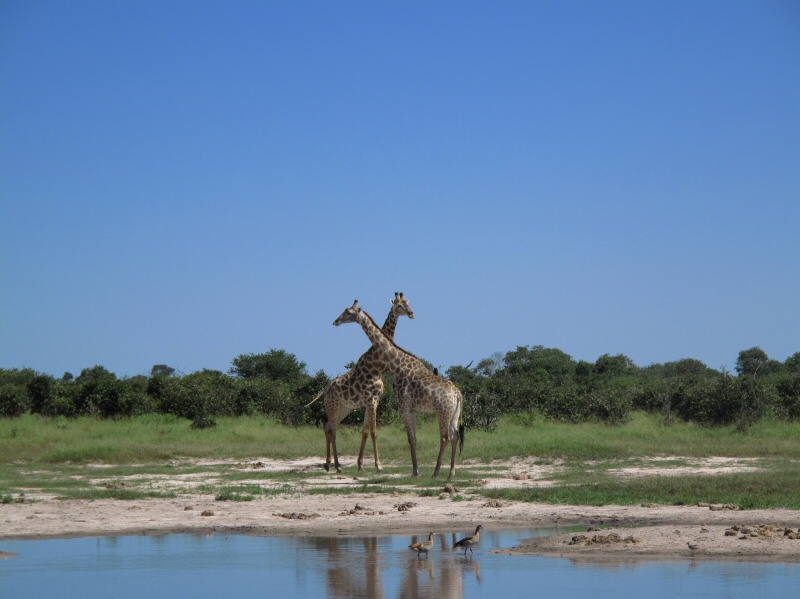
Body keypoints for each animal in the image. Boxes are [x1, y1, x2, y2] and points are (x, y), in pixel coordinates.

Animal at [301, 293, 414, 473]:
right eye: (399, 305)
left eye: (406, 303)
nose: (411, 313)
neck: (377, 366)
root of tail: (325, 390)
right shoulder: (370, 399)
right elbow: (374, 431)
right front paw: (378, 465)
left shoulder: (374, 401)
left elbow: (365, 431)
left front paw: (361, 464)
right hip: (333, 406)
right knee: (332, 429)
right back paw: (337, 466)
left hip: (344, 408)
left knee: (328, 427)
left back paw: (328, 464)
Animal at [333, 300, 463, 479]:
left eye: (348, 312)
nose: (336, 321)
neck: (397, 365)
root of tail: (457, 394)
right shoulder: (412, 409)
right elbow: (414, 438)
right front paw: (416, 470)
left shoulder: (404, 407)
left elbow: (410, 438)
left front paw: (415, 471)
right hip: (454, 414)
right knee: (455, 436)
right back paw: (451, 473)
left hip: (442, 412)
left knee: (445, 437)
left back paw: (436, 472)